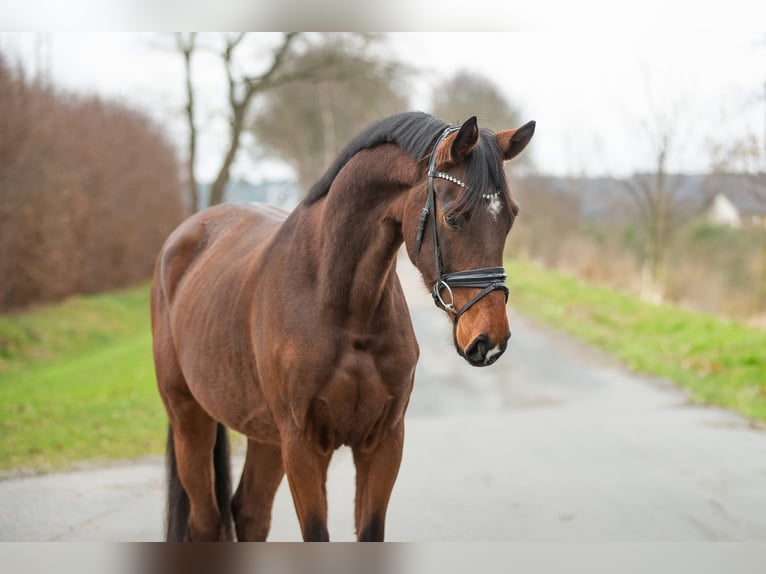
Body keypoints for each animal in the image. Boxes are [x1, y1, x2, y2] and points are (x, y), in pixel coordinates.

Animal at [150, 110, 536, 544]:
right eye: (454, 218)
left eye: (510, 217)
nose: (490, 340)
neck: (343, 306)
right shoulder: (302, 445)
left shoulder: (383, 442)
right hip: (189, 419)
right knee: (206, 519)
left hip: (264, 435)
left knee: (249, 512)